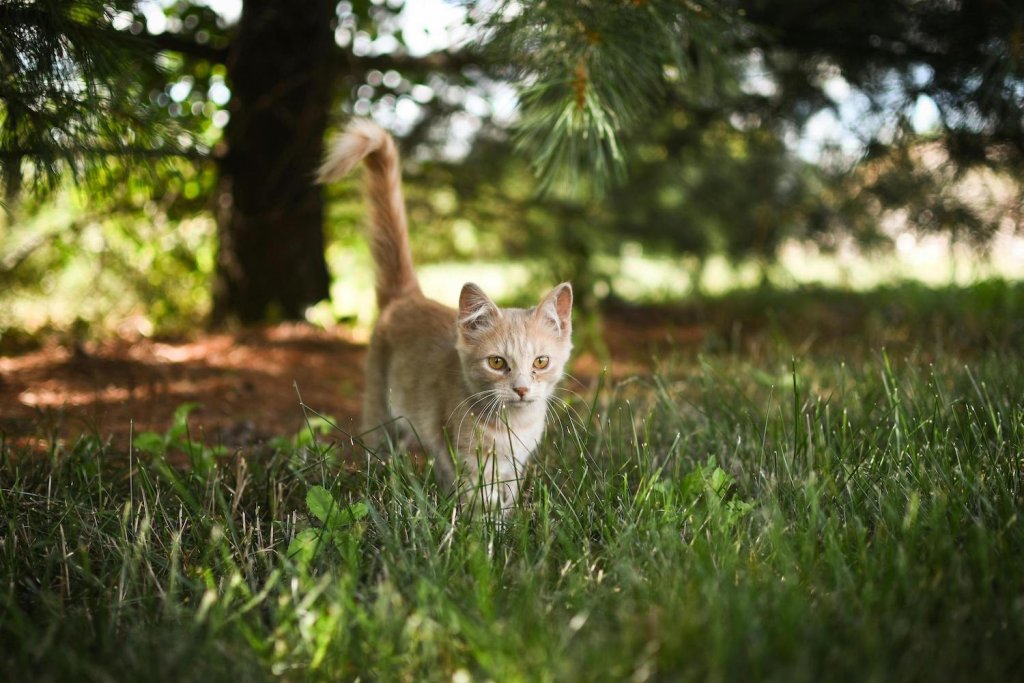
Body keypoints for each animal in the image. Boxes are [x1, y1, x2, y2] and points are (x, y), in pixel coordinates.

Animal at [315, 120, 573, 511]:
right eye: (497, 363)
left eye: (541, 362)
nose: (522, 389)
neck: (512, 426)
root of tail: (408, 297)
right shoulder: (467, 458)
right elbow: (477, 504)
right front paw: (481, 526)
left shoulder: (513, 464)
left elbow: (506, 499)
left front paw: (508, 522)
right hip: (381, 412)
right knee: (379, 454)